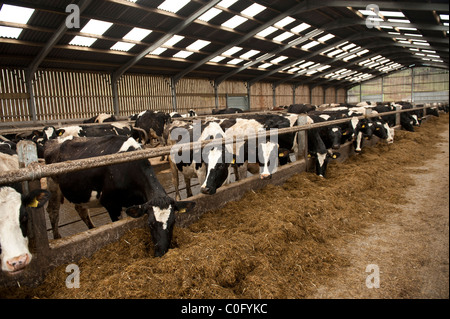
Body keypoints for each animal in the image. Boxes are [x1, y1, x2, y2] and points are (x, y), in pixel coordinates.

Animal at [42, 135, 195, 258]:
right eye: (150, 224)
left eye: (173, 222)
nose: (162, 252)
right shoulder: (111, 204)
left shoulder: (132, 202)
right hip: (52, 184)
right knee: (53, 212)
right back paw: (57, 238)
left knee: (81, 210)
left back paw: (92, 228)